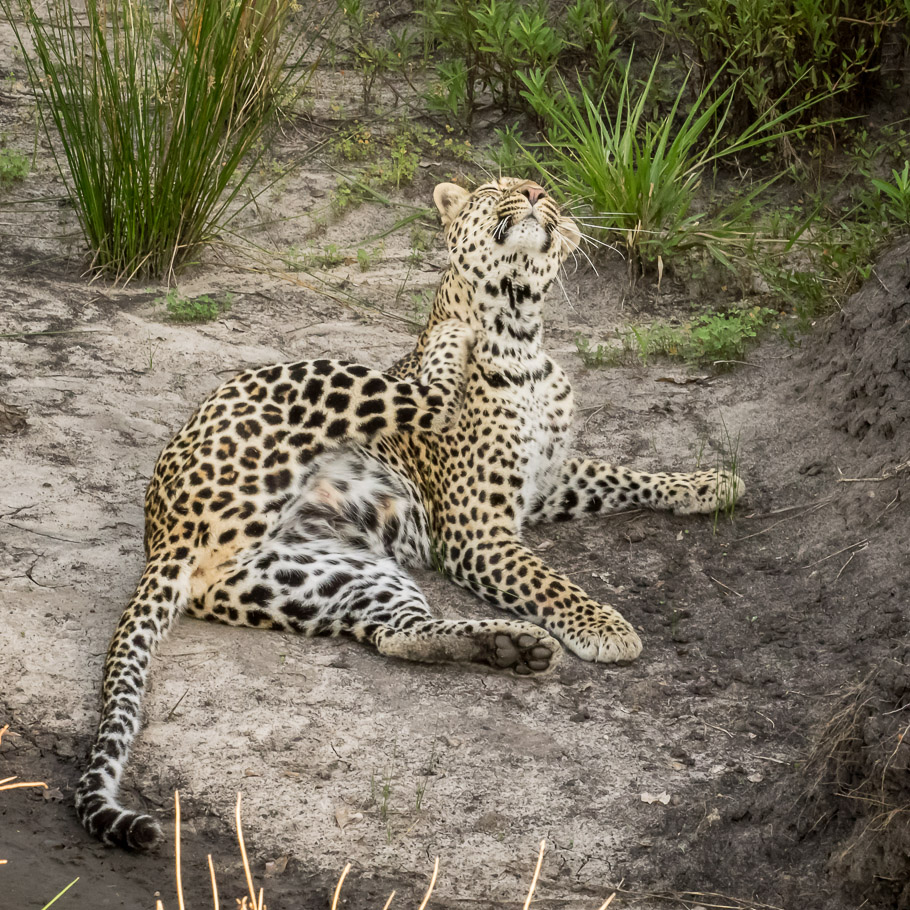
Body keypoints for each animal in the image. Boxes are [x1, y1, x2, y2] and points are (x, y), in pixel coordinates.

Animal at [76, 176, 744, 850]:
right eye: (497, 186)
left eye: (546, 192)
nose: (532, 189)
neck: (524, 342)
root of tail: (163, 530)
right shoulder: (479, 531)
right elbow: (551, 582)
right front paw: (605, 627)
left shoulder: (547, 485)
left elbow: (622, 475)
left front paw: (709, 483)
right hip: (311, 379)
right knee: (425, 392)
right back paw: (449, 345)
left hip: (324, 574)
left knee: (394, 633)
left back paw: (510, 647)